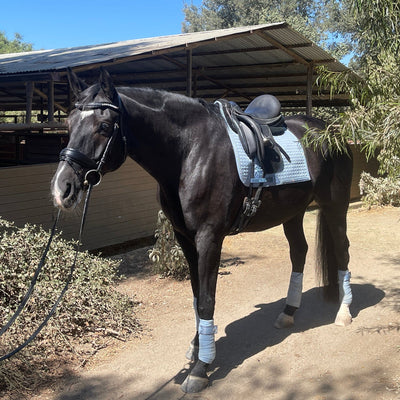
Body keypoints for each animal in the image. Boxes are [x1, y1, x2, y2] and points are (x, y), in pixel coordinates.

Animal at [51, 69, 354, 394]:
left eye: (105, 126)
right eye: (69, 124)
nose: (61, 188)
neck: (190, 152)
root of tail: (329, 130)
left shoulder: (209, 238)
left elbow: (208, 299)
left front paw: (200, 369)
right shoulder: (185, 238)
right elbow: (197, 297)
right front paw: (197, 348)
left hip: (335, 206)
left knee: (342, 251)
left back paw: (344, 313)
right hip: (293, 213)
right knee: (299, 252)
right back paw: (288, 313)